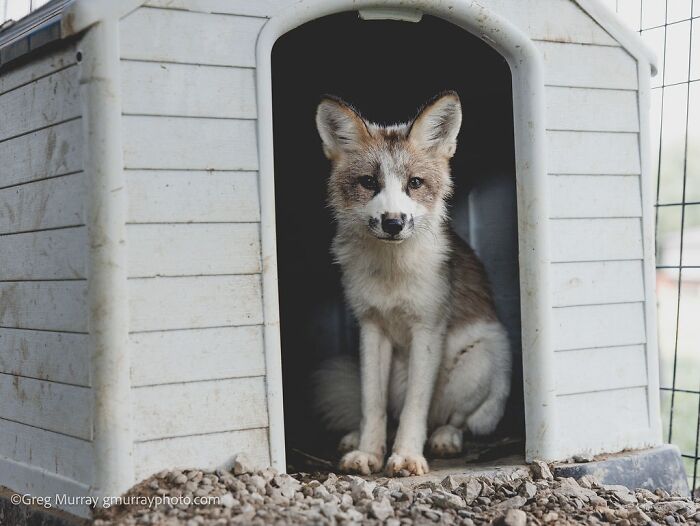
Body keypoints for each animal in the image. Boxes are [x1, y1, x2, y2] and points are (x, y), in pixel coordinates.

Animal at [313, 91, 511, 477]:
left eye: (415, 183)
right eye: (368, 182)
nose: (393, 223)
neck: (393, 275)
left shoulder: (427, 328)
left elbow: (414, 408)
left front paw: (406, 455)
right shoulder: (371, 326)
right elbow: (371, 405)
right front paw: (368, 452)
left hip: (481, 360)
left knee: (453, 421)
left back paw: (444, 438)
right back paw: (356, 437)